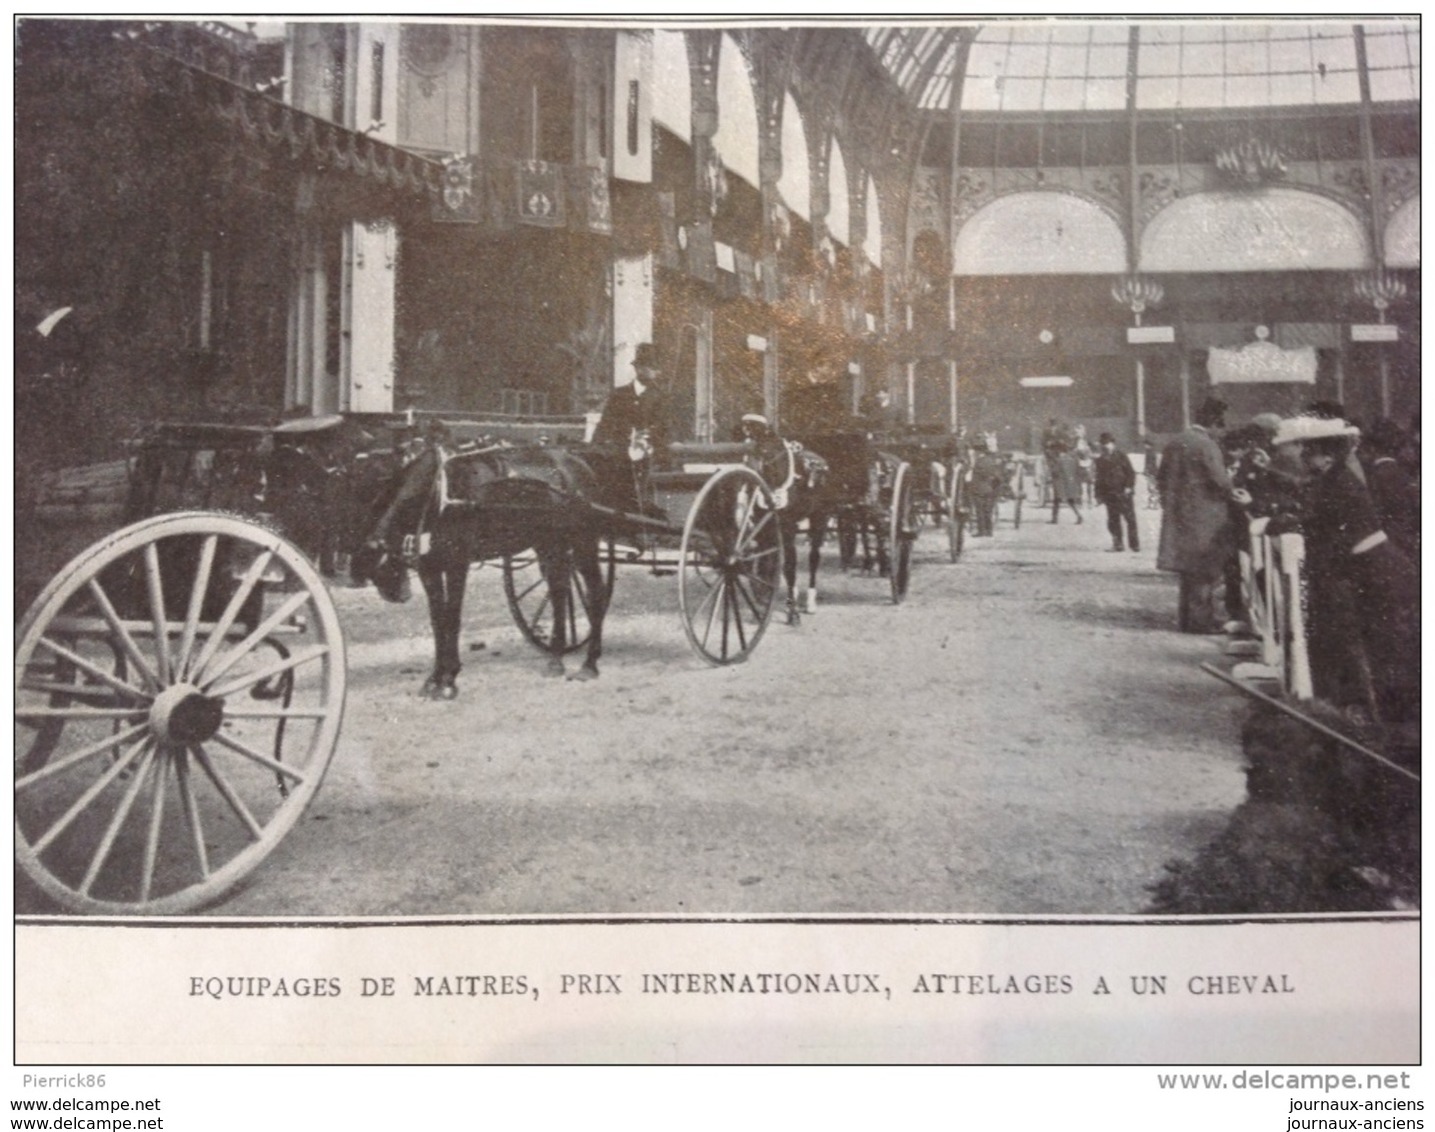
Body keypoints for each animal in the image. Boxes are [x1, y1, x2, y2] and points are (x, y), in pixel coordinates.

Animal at [354, 436, 617, 694]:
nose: (397, 594)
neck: (437, 493)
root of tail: (578, 461)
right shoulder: (429, 567)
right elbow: (438, 619)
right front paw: (435, 678)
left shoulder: (457, 563)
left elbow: (452, 617)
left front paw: (449, 679)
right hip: (548, 543)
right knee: (559, 590)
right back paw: (555, 660)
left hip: (583, 542)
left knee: (595, 592)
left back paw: (590, 664)